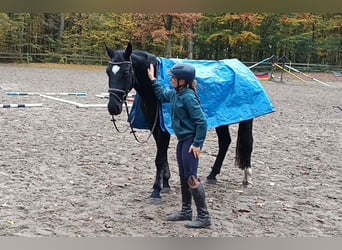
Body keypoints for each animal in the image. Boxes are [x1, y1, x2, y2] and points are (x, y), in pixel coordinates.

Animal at [105, 42, 252, 203]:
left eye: (126, 72)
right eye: (108, 72)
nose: (113, 107)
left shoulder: (163, 129)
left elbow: (159, 159)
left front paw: (156, 191)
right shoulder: (155, 127)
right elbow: (163, 156)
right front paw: (165, 183)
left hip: (246, 118)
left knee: (247, 143)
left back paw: (247, 177)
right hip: (222, 121)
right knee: (225, 142)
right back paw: (212, 175)